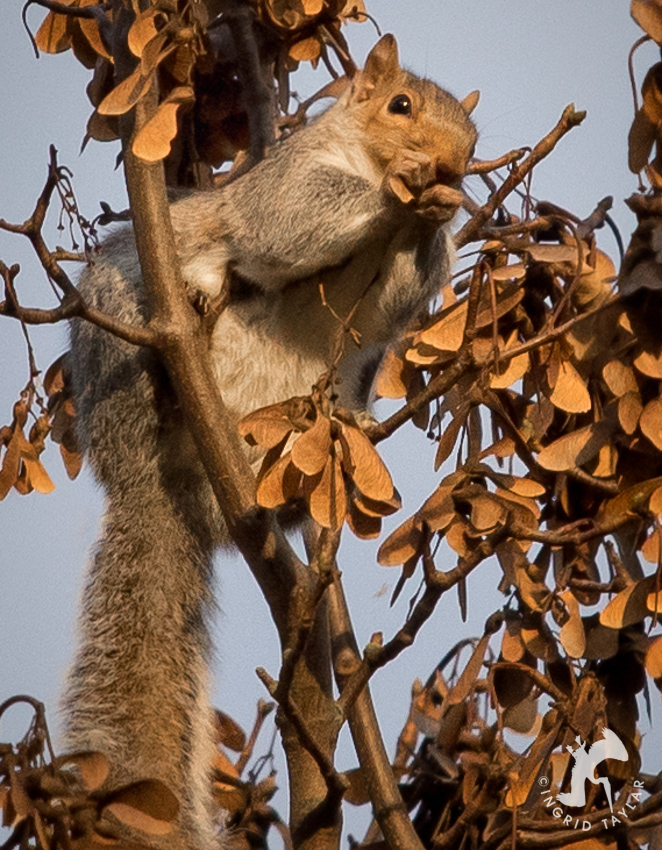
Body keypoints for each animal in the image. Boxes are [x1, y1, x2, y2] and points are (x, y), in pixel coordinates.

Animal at [61, 33, 478, 848]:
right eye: (400, 105)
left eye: (473, 136)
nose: (452, 163)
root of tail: (165, 488)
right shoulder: (287, 186)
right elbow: (292, 222)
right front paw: (406, 187)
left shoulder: (396, 283)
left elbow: (397, 293)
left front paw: (435, 210)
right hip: (120, 323)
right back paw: (169, 366)